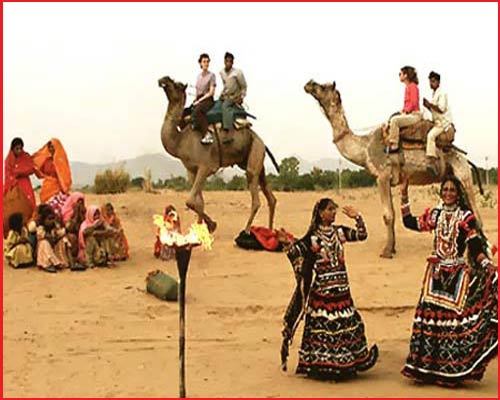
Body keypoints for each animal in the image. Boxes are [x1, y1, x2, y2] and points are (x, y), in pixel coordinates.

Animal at [159, 76, 280, 234]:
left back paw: (247, 230)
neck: (180, 142)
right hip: (257, 161)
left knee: (256, 198)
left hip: (255, 155)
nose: (163, 79)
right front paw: (202, 229)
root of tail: (262, 142)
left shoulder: (206, 167)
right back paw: (270, 231)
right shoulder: (191, 170)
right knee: (271, 197)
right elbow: (199, 202)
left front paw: (211, 225)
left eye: (177, 85)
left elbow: (190, 201)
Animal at [302, 79, 482, 258]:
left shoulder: (382, 176)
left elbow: (387, 215)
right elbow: (393, 214)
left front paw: (386, 251)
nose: (309, 83)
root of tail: (464, 156)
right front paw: (392, 248)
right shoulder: (388, 179)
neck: (365, 148)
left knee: (476, 213)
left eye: (323, 87)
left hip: (463, 172)